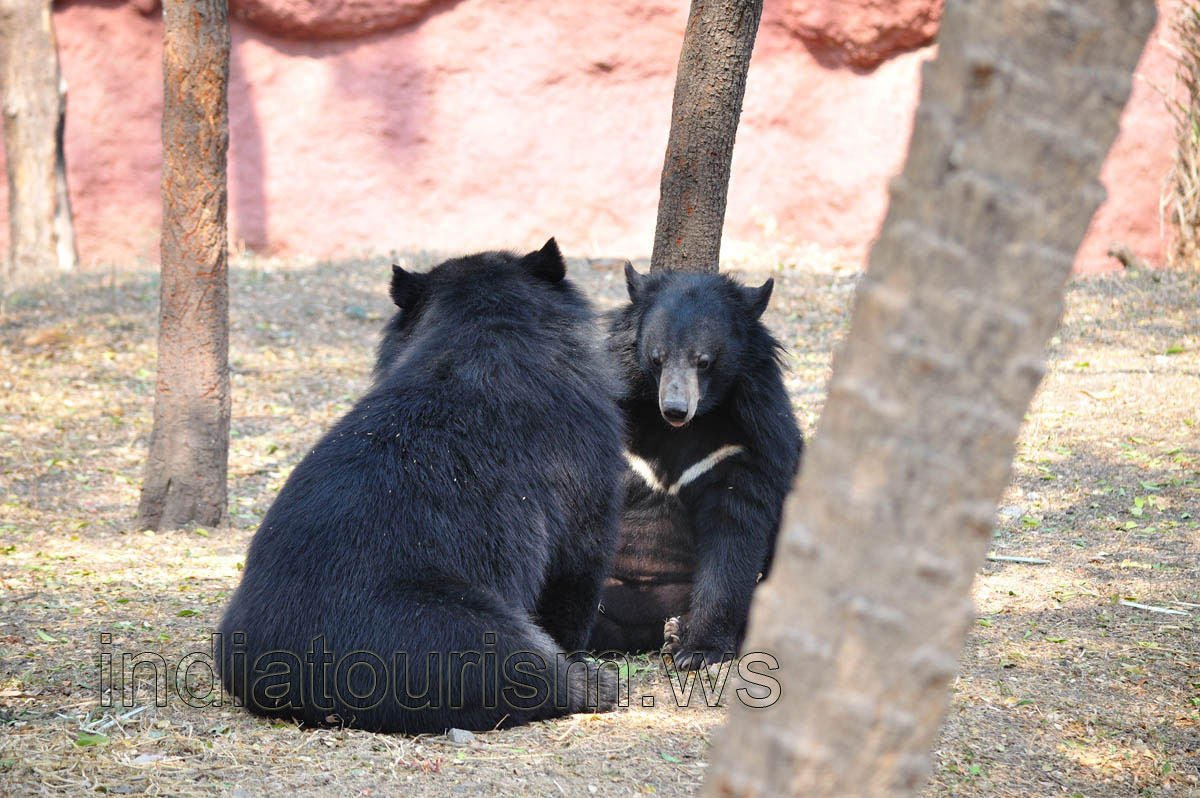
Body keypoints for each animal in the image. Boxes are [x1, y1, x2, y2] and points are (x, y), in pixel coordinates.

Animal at [217, 240, 626, 733]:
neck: (482, 326)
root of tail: (281, 669)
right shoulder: (581, 456)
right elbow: (577, 561)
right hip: (429, 630)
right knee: (514, 658)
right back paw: (593, 684)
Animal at [587, 264, 803, 670]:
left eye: (703, 361)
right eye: (657, 358)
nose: (674, 409)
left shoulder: (745, 445)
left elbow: (734, 533)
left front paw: (698, 649)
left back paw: (675, 631)